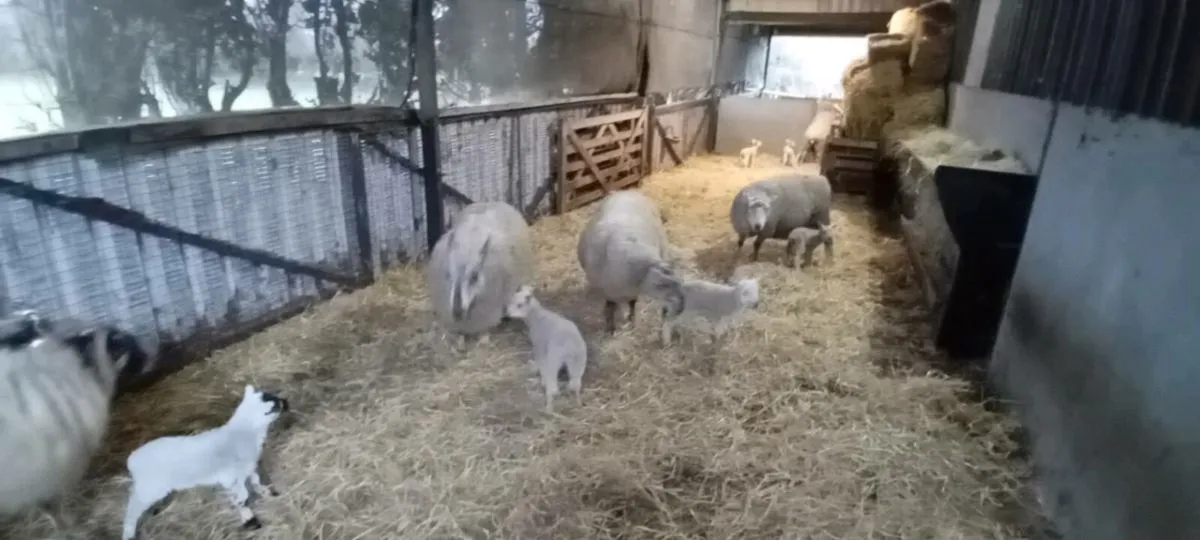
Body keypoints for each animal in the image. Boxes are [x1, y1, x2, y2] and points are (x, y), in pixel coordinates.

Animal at [121, 384, 289, 540]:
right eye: (275, 405)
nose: (286, 402)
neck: (244, 432)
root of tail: (132, 460)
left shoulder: (248, 467)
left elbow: (255, 481)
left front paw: (267, 492)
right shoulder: (231, 477)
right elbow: (242, 497)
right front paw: (250, 520)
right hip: (149, 488)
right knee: (132, 507)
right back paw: (128, 533)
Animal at [426, 201, 535, 347]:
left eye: (475, 276)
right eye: (448, 274)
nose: (457, 311)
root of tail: (492, 201)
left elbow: (485, 331)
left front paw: (484, 339)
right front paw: (460, 342)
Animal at [577, 190, 682, 334]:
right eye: (660, 285)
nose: (679, 308)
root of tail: (627, 191)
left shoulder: (632, 291)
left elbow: (632, 303)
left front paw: (632, 319)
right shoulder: (608, 292)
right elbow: (610, 308)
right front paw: (611, 328)